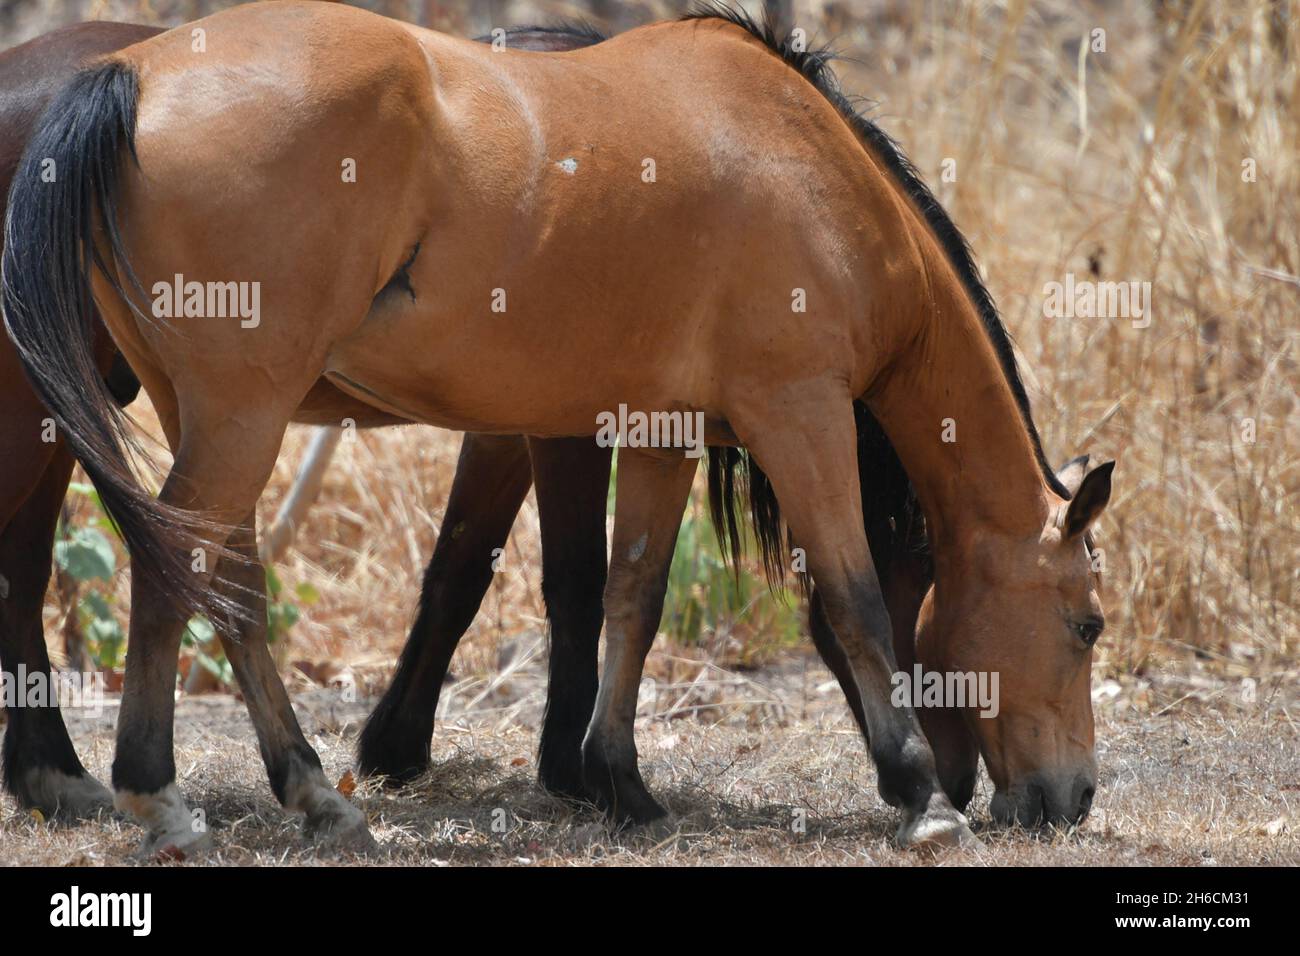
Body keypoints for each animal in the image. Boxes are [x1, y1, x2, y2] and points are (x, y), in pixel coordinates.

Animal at [2, 0, 1118, 853]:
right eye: (1087, 625)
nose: (1070, 799)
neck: (808, 166)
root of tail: (131, 76)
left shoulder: (664, 428)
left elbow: (632, 594)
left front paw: (618, 778)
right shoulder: (796, 411)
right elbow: (854, 601)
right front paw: (920, 795)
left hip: (222, 413)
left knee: (227, 589)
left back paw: (314, 793)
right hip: (238, 414)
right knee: (168, 576)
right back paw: (156, 795)